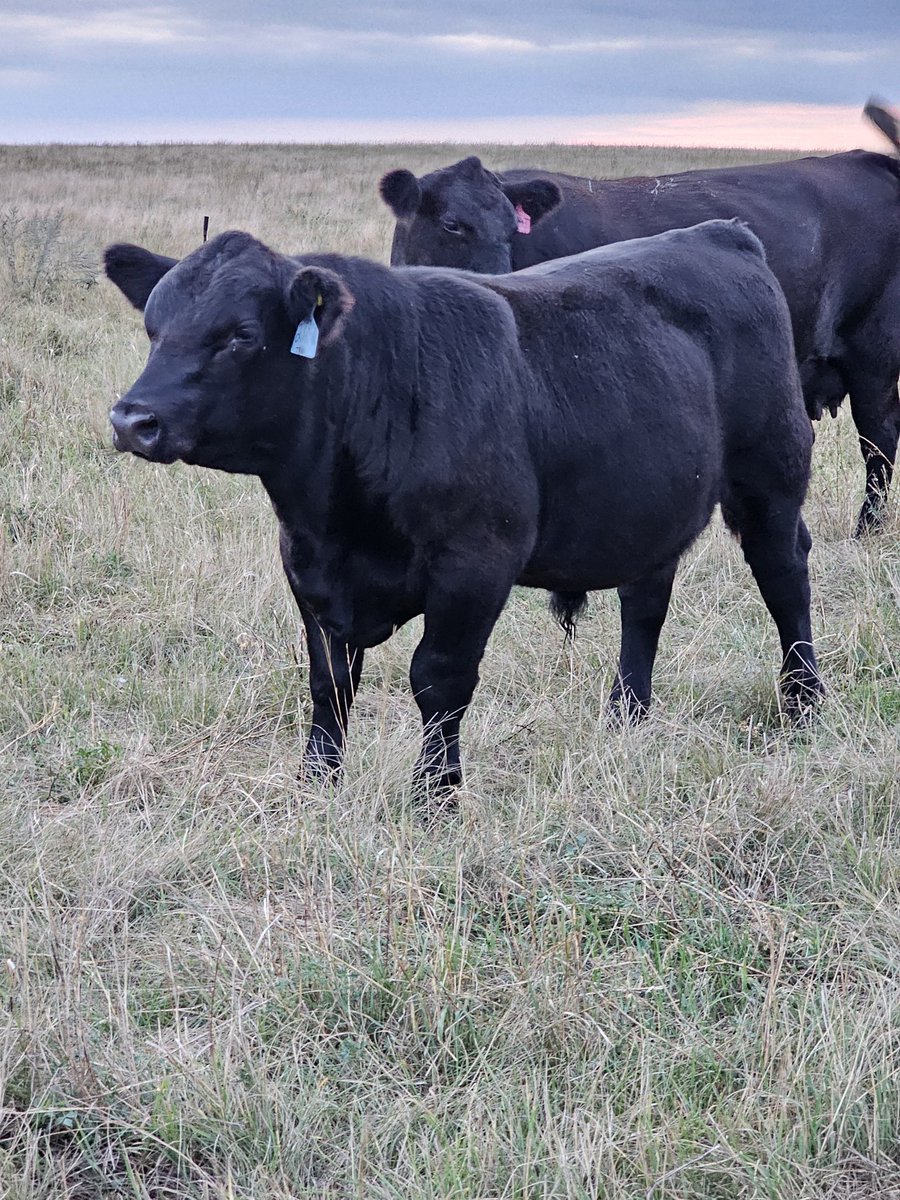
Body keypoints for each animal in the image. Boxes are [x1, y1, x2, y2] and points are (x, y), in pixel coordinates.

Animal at [104, 223, 821, 795]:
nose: (133, 419)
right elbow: (329, 682)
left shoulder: (476, 563)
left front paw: (436, 796)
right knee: (645, 599)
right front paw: (316, 784)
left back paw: (803, 706)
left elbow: (438, 680)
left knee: (785, 575)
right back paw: (626, 715)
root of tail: (720, 232)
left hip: (771, 475)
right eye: (153, 328)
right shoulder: (306, 564)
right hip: (649, 501)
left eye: (241, 336)